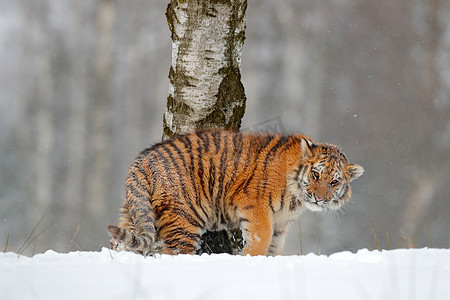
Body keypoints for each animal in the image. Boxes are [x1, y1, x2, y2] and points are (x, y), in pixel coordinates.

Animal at [107, 129, 364, 255]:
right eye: (316, 175)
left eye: (334, 182)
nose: (320, 198)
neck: (296, 199)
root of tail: (142, 160)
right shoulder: (255, 206)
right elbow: (261, 239)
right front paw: (250, 258)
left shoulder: (281, 223)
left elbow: (275, 246)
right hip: (185, 219)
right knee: (172, 252)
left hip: (136, 212)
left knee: (122, 244)